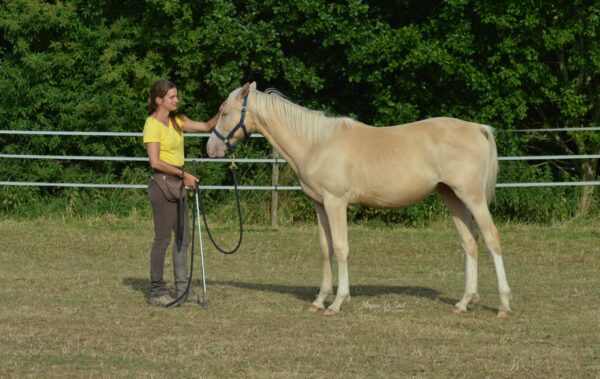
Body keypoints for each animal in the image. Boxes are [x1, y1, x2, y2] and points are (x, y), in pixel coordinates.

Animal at [206, 83, 510, 318]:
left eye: (224, 112)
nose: (211, 148)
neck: (316, 144)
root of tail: (478, 128)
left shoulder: (336, 202)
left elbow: (341, 248)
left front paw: (338, 302)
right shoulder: (320, 204)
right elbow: (325, 249)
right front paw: (320, 300)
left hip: (472, 197)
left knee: (492, 238)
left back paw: (504, 305)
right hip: (452, 196)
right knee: (470, 241)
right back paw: (464, 302)